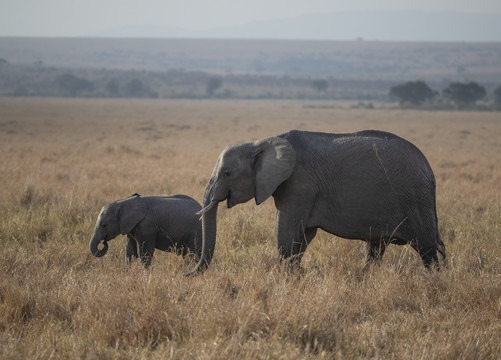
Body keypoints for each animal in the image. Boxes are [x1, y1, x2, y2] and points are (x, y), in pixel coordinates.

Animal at [188, 131, 446, 274]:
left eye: (227, 174)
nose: (187, 274)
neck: (260, 142)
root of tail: (429, 171)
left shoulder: (300, 185)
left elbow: (286, 231)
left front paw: (287, 277)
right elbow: (303, 235)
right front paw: (296, 274)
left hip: (416, 200)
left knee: (427, 249)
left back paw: (434, 280)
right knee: (376, 248)